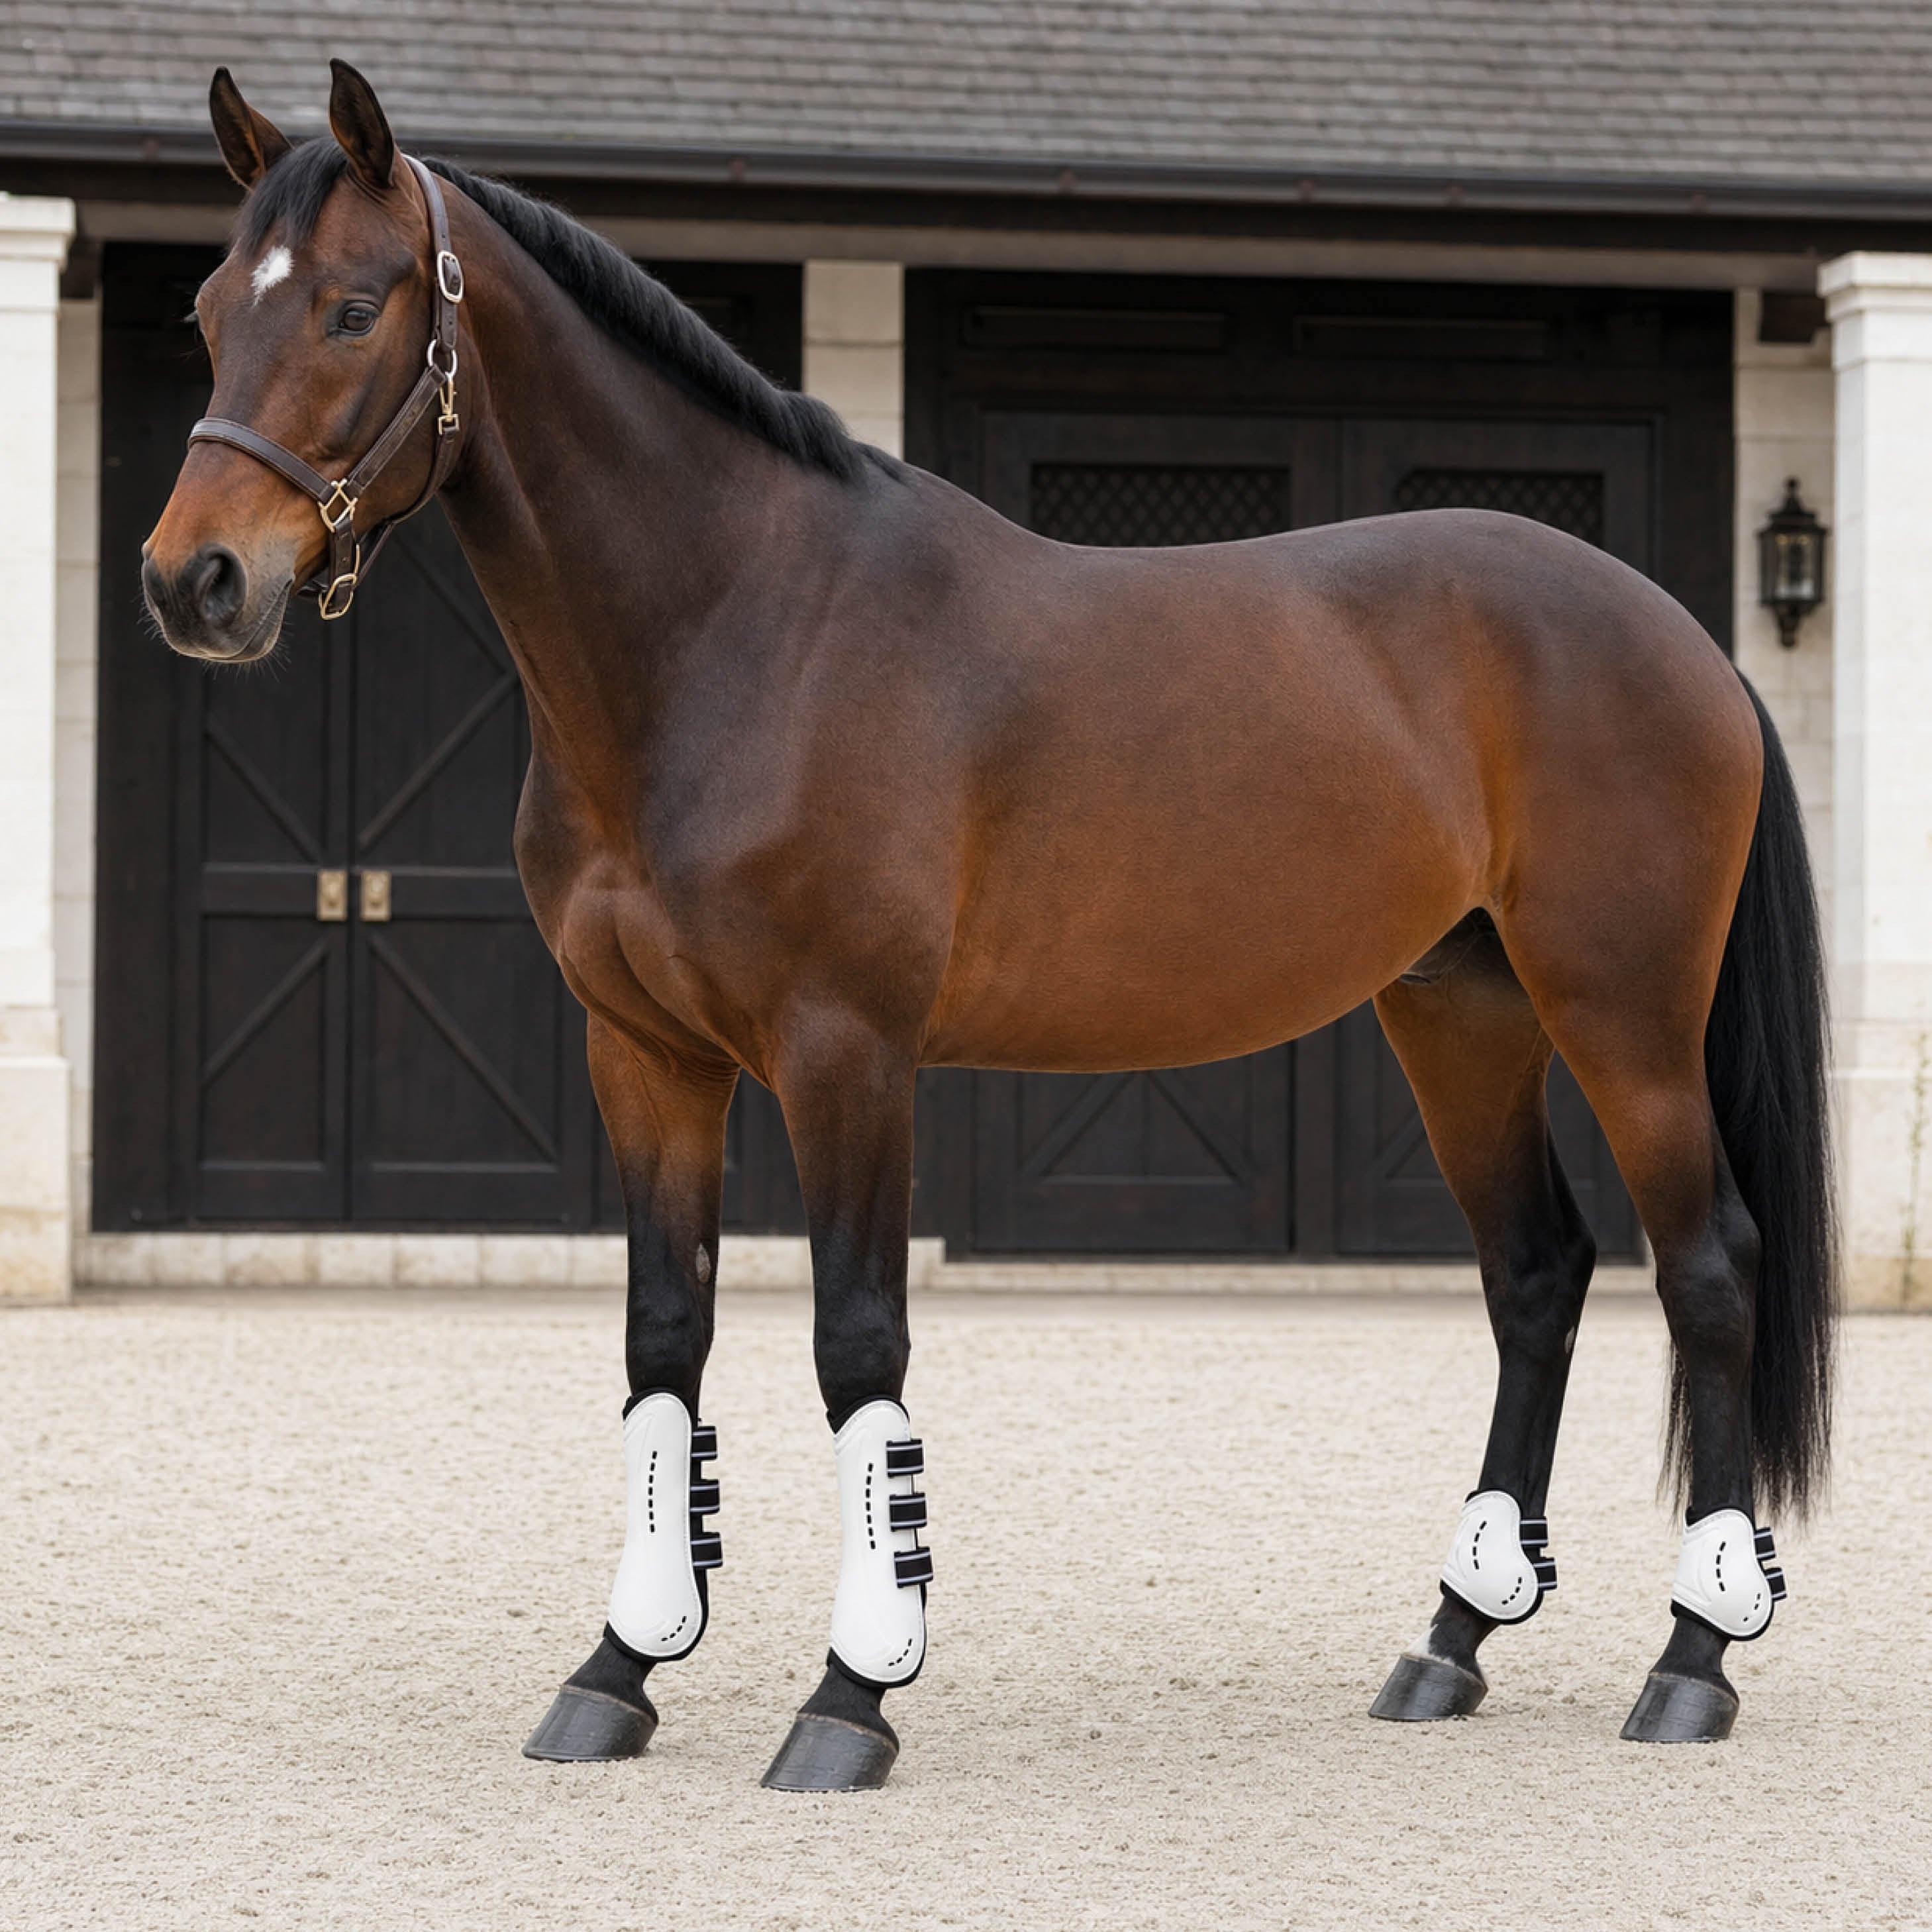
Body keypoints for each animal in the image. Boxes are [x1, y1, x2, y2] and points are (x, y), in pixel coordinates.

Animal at [143, 62, 1834, 1788]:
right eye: (209, 312)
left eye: (353, 307)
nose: (192, 580)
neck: (735, 630)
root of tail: (1684, 635)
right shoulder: (646, 1056)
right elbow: (663, 1346)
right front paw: (619, 1666)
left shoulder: (845, 1055)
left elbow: (856, 1351)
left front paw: (849, 1693)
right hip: (1458, 1012)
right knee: (1533, 1275)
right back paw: (1450, 1638)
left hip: (1623, 1016)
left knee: (1706, 1268)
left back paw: (1692, 1654)